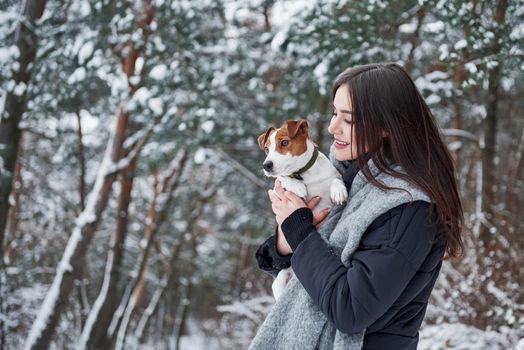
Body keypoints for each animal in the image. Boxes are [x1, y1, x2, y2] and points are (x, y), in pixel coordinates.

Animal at [258, 119, 348, 300]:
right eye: (266, 149)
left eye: (284, 142)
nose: (266, 165)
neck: (303, 174)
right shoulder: (278, 187)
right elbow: (283, 178)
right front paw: (297, 187)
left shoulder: (333, 175)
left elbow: (336, 179)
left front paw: (339, 191)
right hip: (279, 281)